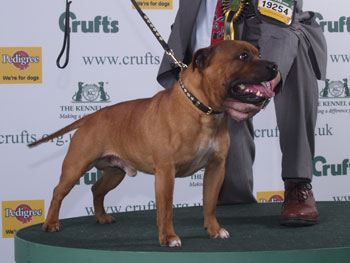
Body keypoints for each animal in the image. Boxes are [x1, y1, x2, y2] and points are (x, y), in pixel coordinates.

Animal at [28, 40, 278, 249]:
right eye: (243, 56)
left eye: (259, 53)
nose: (275, 65)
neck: (203, 109)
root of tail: (91, 116)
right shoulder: (166, 172)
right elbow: (166, 209)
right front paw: (168, 238)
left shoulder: (216, 168)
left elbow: (210, 203)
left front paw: (214, 230)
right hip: (76, 166)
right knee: (58, 192)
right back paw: (51, 223)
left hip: (115, 172)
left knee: (96, 189)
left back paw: (102, 217)